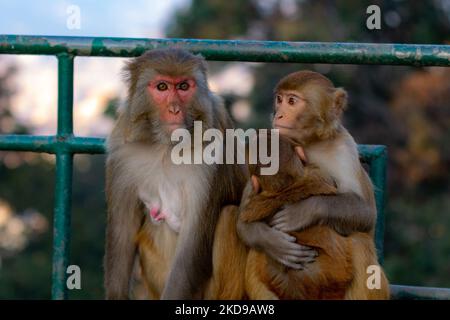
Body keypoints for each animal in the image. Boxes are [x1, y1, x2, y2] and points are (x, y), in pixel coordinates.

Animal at [104, 48, 248, 300]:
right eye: (162, 87)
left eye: (183, 86)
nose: (174, 109)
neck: (166, 146)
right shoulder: (122, 150)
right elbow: (122, 234)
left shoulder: (212, 156)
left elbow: (191, 247)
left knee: (229, 217)